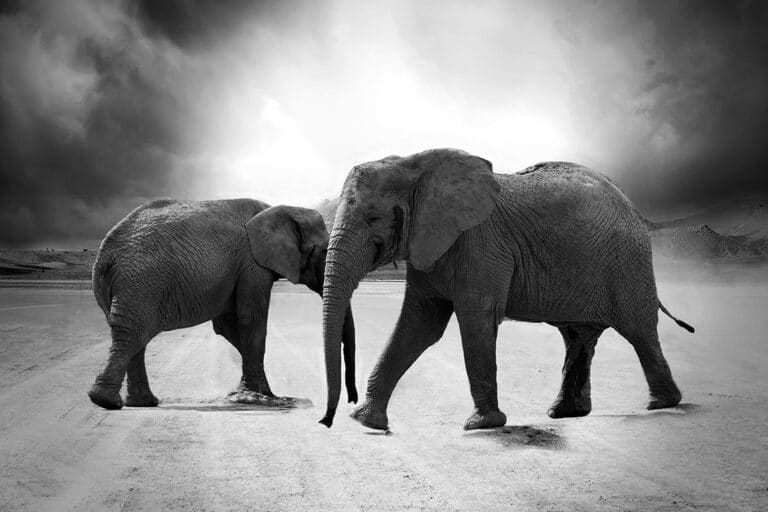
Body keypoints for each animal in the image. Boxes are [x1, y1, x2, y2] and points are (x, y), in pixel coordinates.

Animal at [88, 198, 357, 410]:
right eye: (324, 252)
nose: (352, 401)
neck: (281, 209)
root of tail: (104, 254)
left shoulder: (240, 270)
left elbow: (228, 325)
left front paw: (259, 394)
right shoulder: (252, 264)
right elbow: (251, 320)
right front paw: (261, 398)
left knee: (133, 337)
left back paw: (140, 403)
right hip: (140, 283)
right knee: (133, 335)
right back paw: (107, 401)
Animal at [318, 148, 694, 430]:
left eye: (372, 218)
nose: (326, 421)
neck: (414, 165)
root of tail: (633, 207)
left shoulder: (481, 243)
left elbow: (476, 320)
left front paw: (482, 425)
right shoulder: (430, 247)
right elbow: (419, 325)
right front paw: (366, 421)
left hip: (627, 263)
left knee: (638, 331)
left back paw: (662, 403)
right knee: (578, 337)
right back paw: (565, 413)